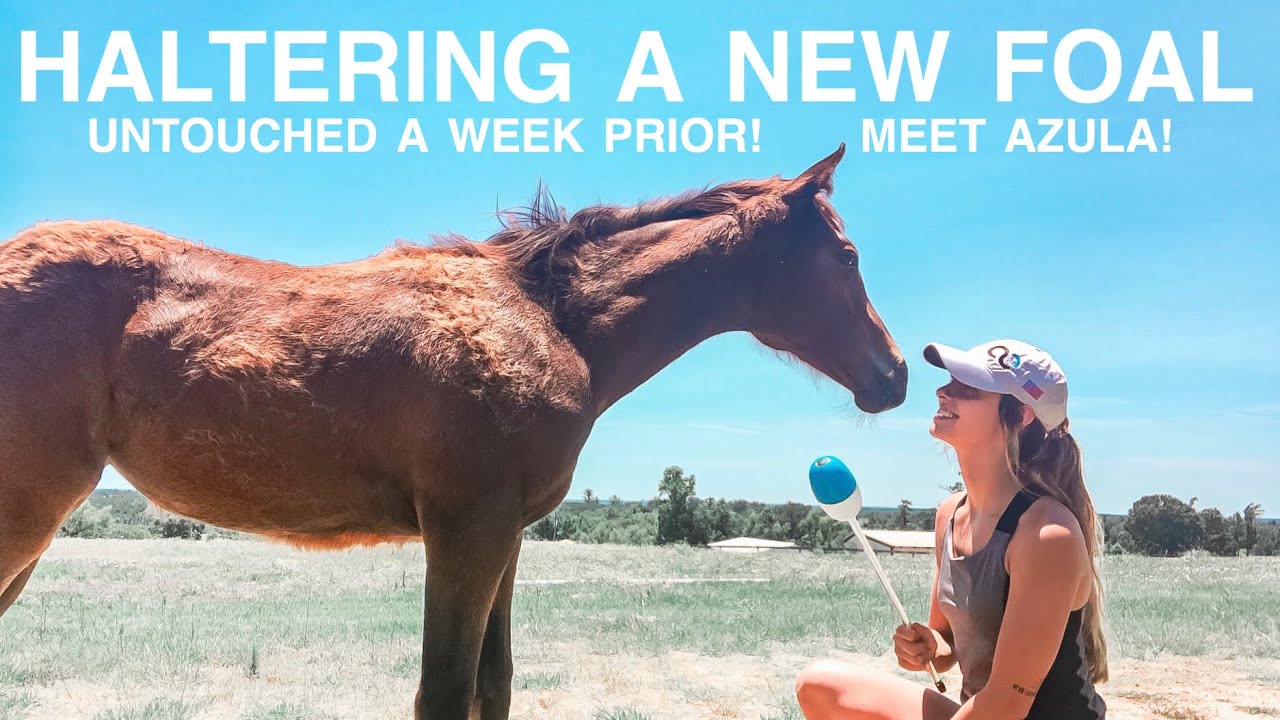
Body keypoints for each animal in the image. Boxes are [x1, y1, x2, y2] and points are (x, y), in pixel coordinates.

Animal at [0, 145, 906, 719]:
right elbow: (442, 691)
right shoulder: (467, 528)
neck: (547, 320)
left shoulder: (504, 533)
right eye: (847, 256)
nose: (894, 375)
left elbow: (490, 687)